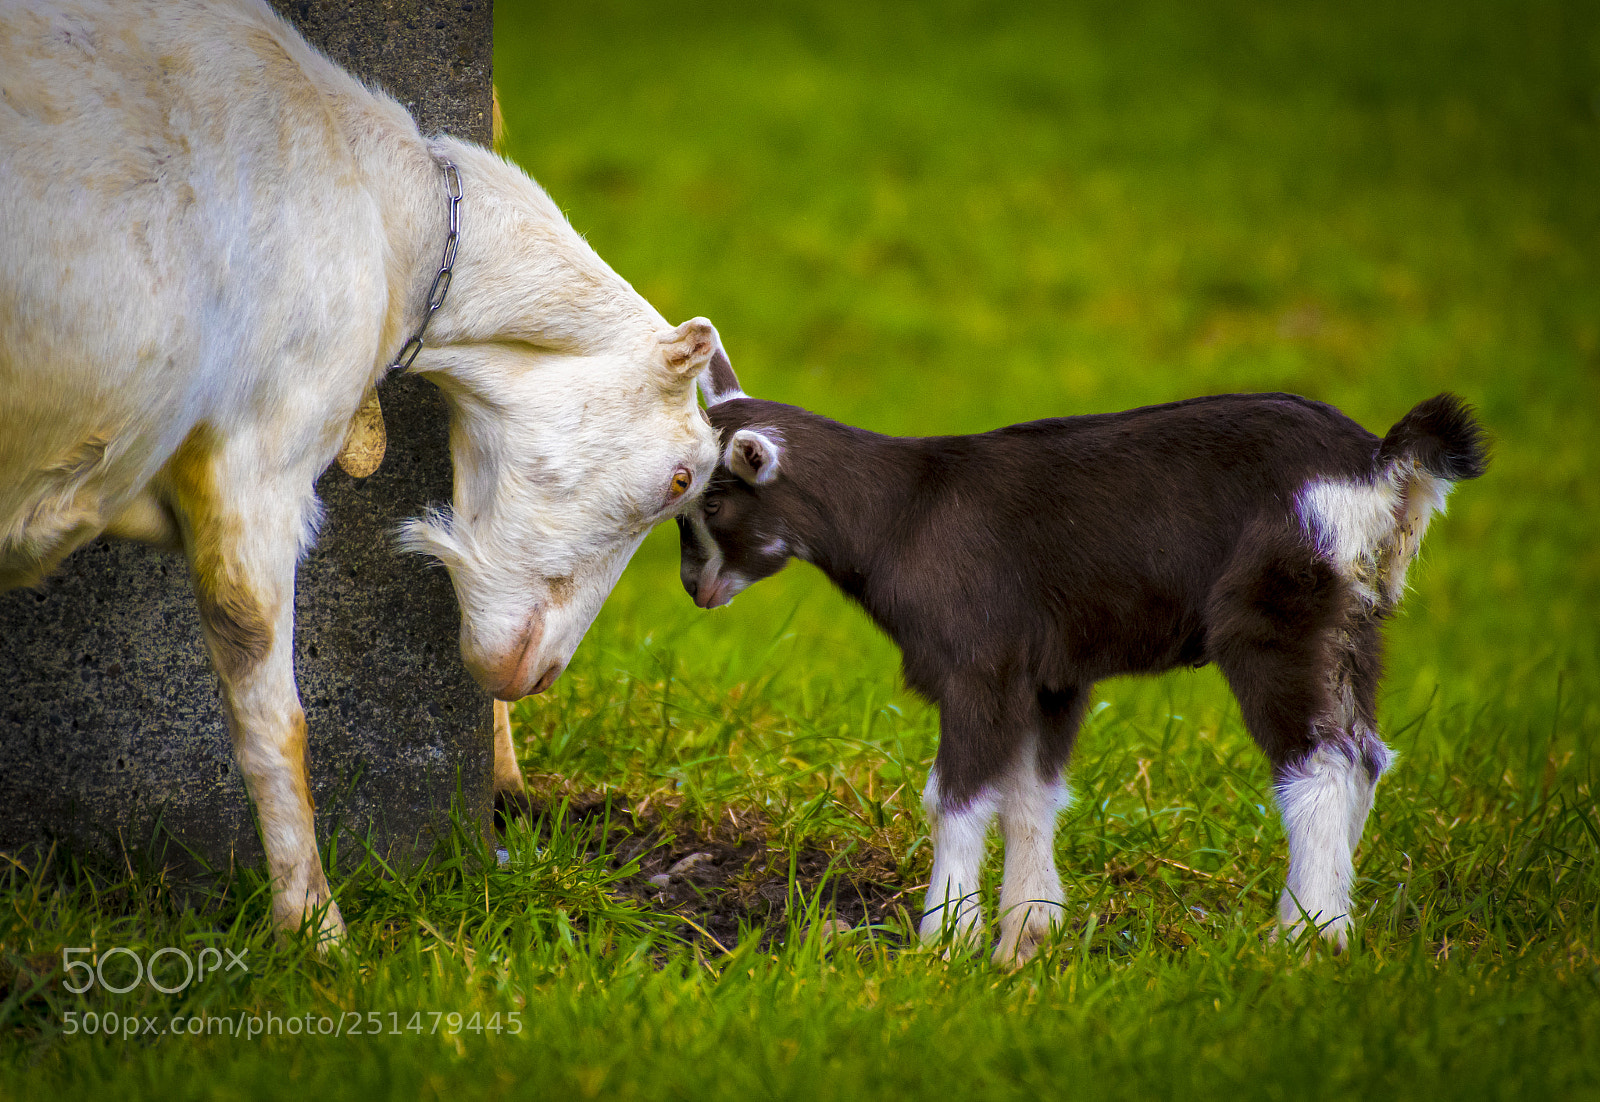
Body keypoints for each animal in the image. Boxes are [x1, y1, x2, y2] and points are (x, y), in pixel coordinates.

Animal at [678, 373, 1488, 964]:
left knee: (1319, 760)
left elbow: (955, 796)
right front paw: (1025, 936)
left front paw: (945, 942)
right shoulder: (1048, 676)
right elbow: (1030, 792)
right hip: (1353, 623)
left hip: (1278, 614)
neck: (902, 513)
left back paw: (1307, 938)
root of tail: (1379, 466)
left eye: (713, 499)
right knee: (1365, 754)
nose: (694, 588)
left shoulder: (978, 663)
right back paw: (1317, 918)